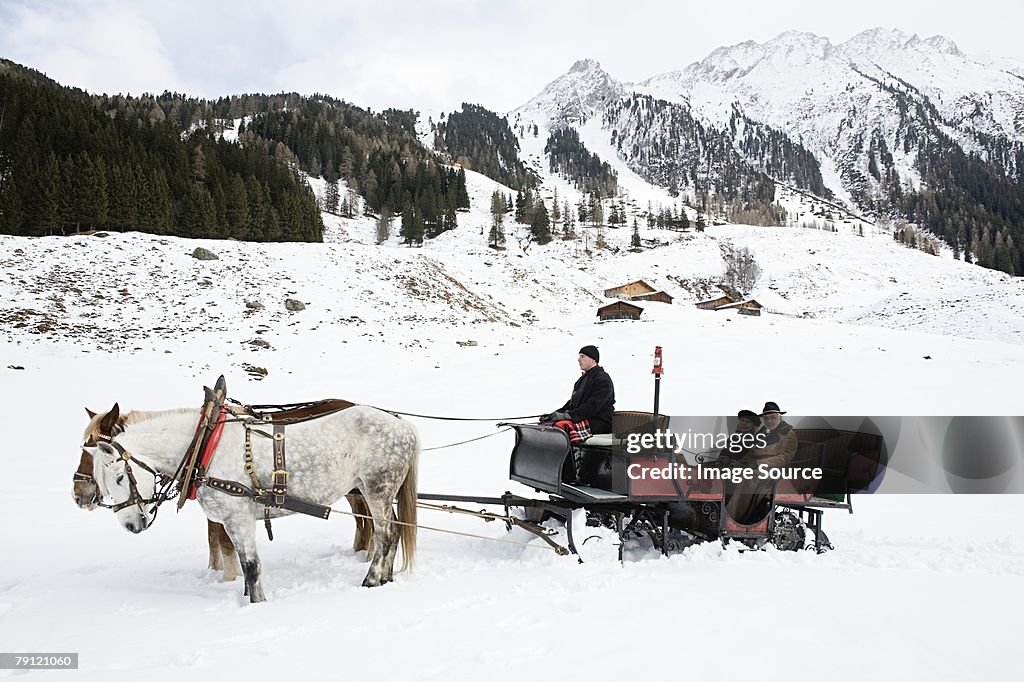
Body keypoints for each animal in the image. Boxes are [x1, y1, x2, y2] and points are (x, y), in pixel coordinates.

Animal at [84, 399, 419, 602]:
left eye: (119, 478)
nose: (130, 524)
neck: (204, 446)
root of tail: (402, 424)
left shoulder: (238, 518)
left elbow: (251, 566)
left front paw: (257, 605)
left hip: (376, 488)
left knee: (385, 534)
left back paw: (371, 580)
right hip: (377, 490)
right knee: (392, 533)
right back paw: (386, 578)